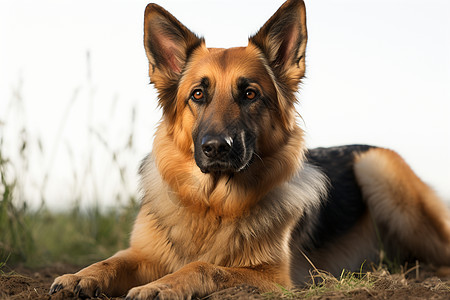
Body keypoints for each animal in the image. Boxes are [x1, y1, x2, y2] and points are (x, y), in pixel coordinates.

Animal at [49, 1, 450, 298]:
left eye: (250, 94)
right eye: (198, 94)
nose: (216, 148)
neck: (211, 205)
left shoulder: (273, 278)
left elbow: (204, 266)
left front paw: (162, 286)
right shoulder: (143, 253)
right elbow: (112, 260)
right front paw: (80, 276)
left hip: (376, 166)